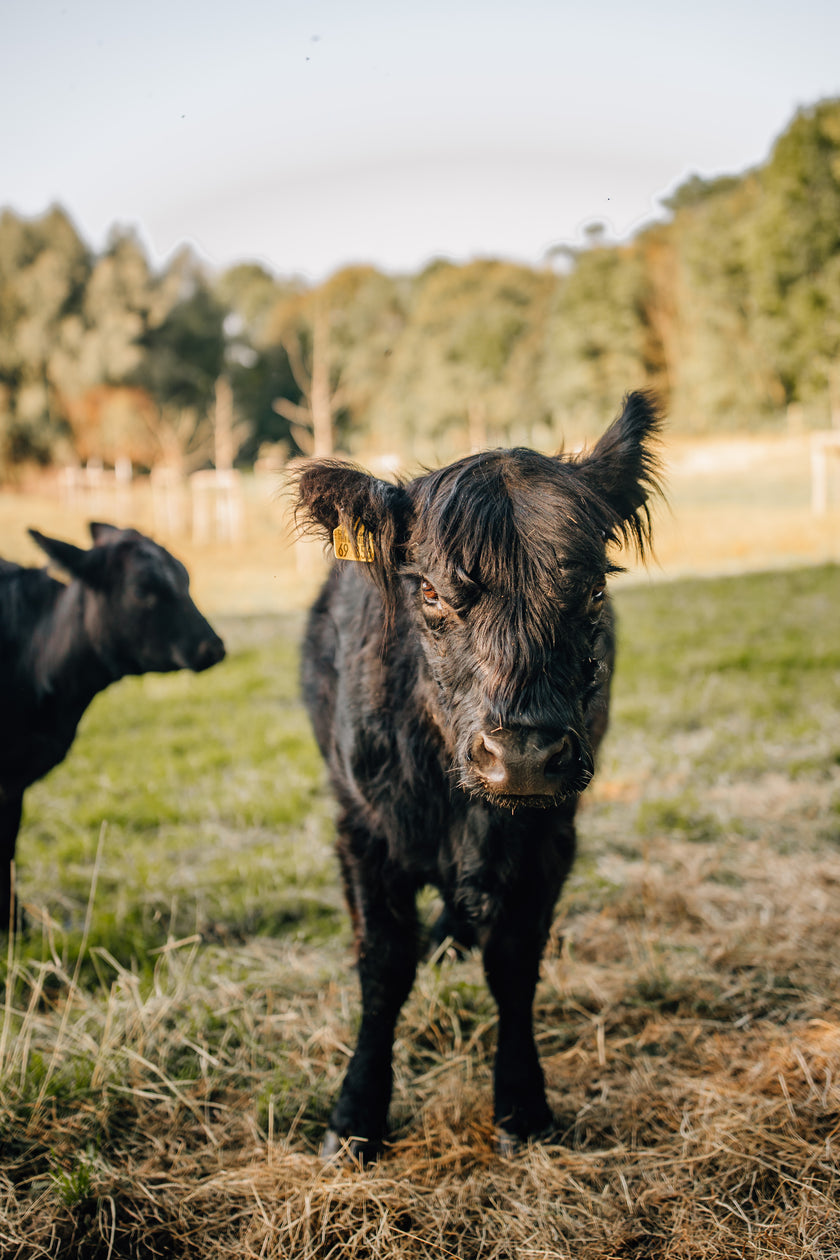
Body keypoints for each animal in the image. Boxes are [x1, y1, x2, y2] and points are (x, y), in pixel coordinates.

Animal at [295, 388, 664, 1154]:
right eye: (431, 594)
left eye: (593, 594)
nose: (521, 754)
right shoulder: (363, 830)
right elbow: (383, 968)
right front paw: (355, 1116)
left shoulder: (552, 833)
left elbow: (515, 963)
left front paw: (522, 1106)